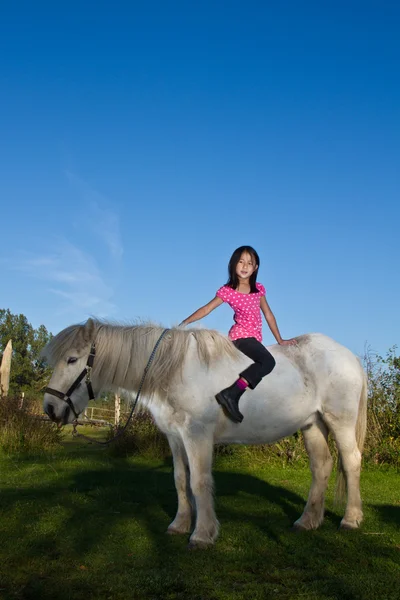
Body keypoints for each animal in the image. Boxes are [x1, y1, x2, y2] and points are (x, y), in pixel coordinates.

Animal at [42, 318, 368, 548]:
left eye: (72, 359)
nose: (50, 408)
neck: (171, 370)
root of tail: (350, 357)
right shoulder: (175, 438)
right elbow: (180, 480)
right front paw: (180, 525)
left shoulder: (196, 435)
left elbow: (199, 482)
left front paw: (202, 534)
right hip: (312, 424)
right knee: (321, 466)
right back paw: (308, 521)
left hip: (340, 421)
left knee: (351, 461)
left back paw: (351, 519)